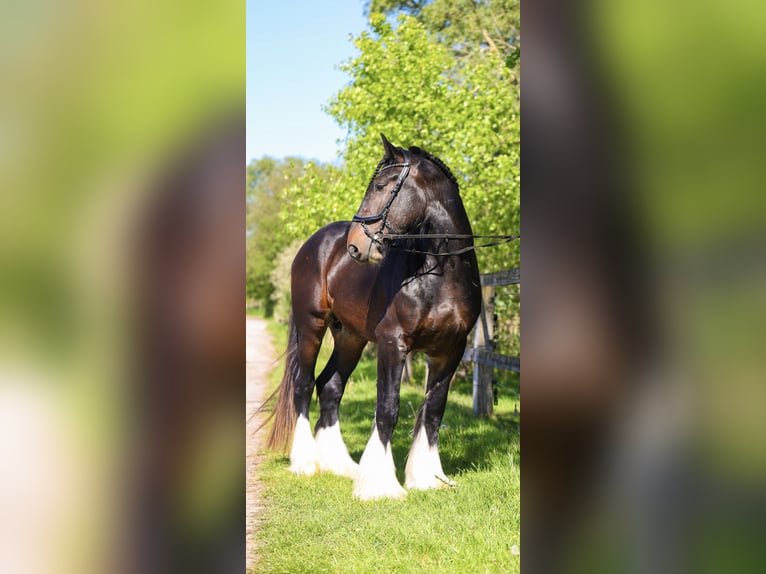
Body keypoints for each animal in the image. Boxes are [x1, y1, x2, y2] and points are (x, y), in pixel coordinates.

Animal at [266, 134, 482, 500]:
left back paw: (340, 464)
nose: (354, 246)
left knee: (330, 386)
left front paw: (428, 477)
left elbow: (433, 411)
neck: (439, 275)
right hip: (312, 326)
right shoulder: (393, 344)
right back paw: (306, 462)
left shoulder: (450, 350)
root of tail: (313, 244)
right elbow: (388, 409)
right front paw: (380, 484)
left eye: (381, 186)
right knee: (304, 384)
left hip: (350, 337)